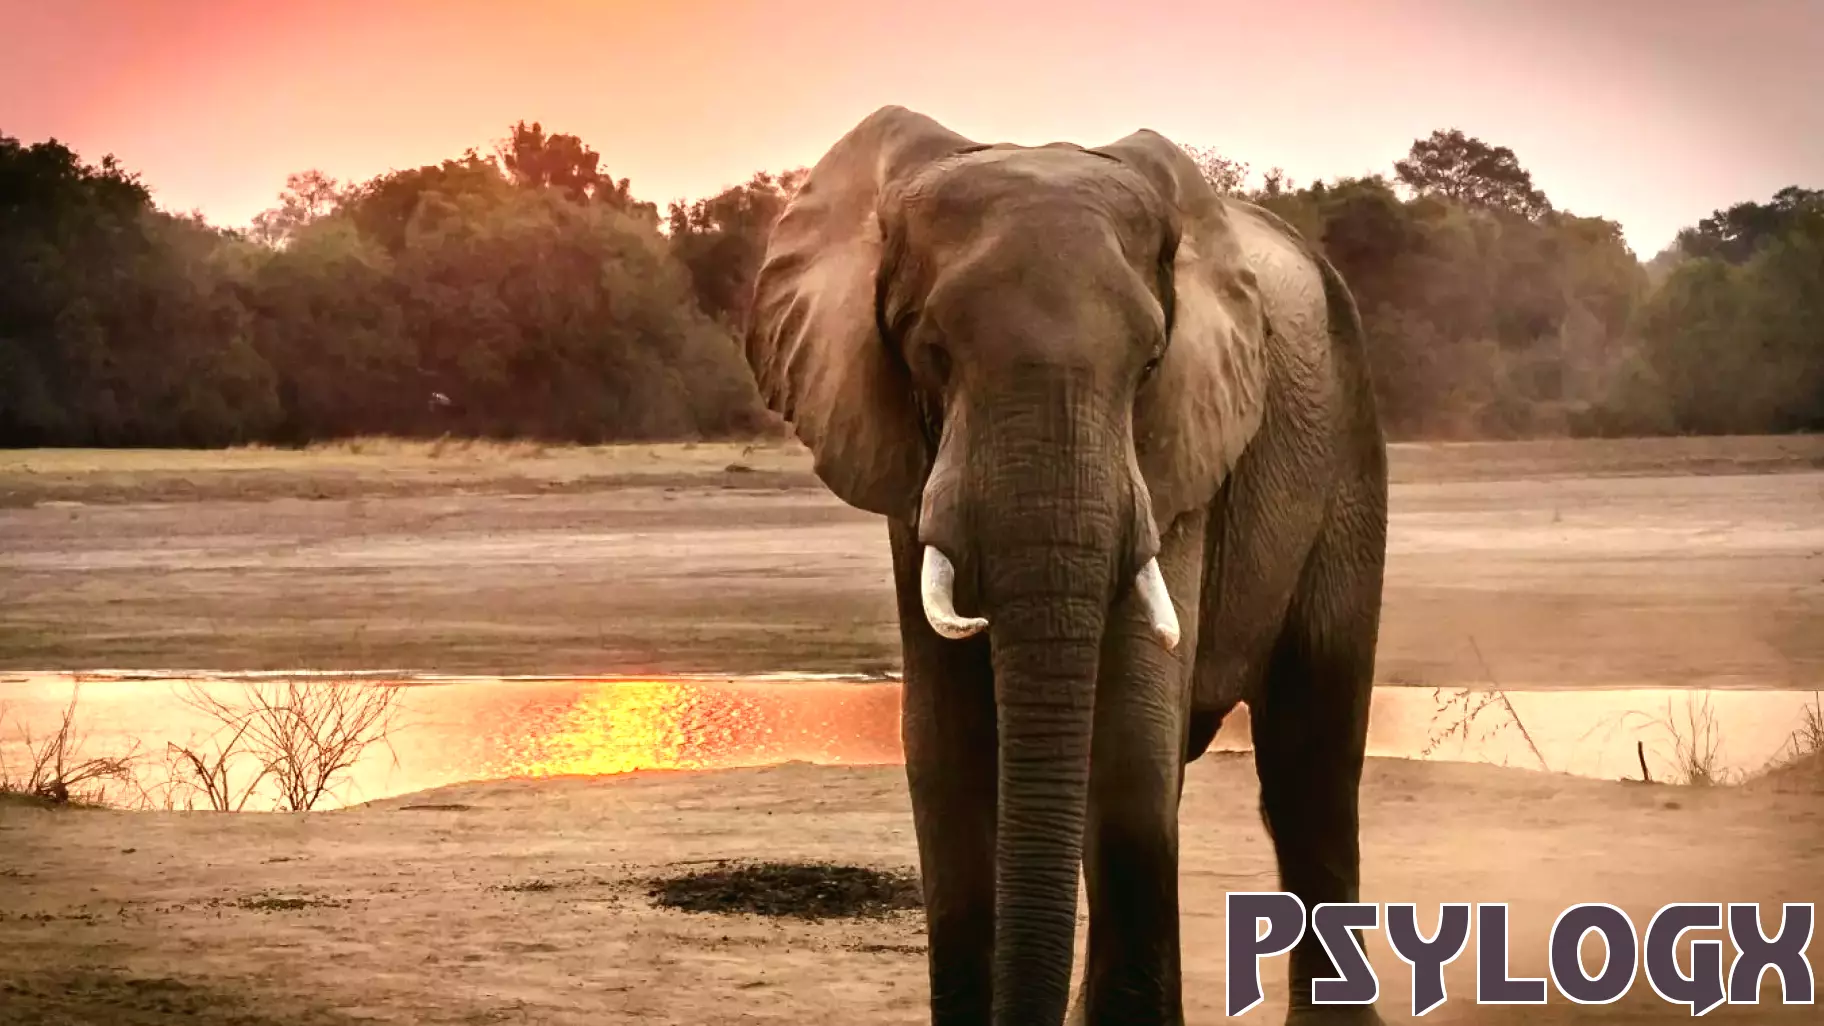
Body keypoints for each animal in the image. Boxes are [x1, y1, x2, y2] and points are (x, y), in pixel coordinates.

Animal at [736, 105, 1378, 1022]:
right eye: (930, 351)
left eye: (1150, 363)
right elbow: (947, 749)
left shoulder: (1180, 453)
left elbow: (1130, 743)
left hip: (1350, 454)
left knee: (1310, 765)